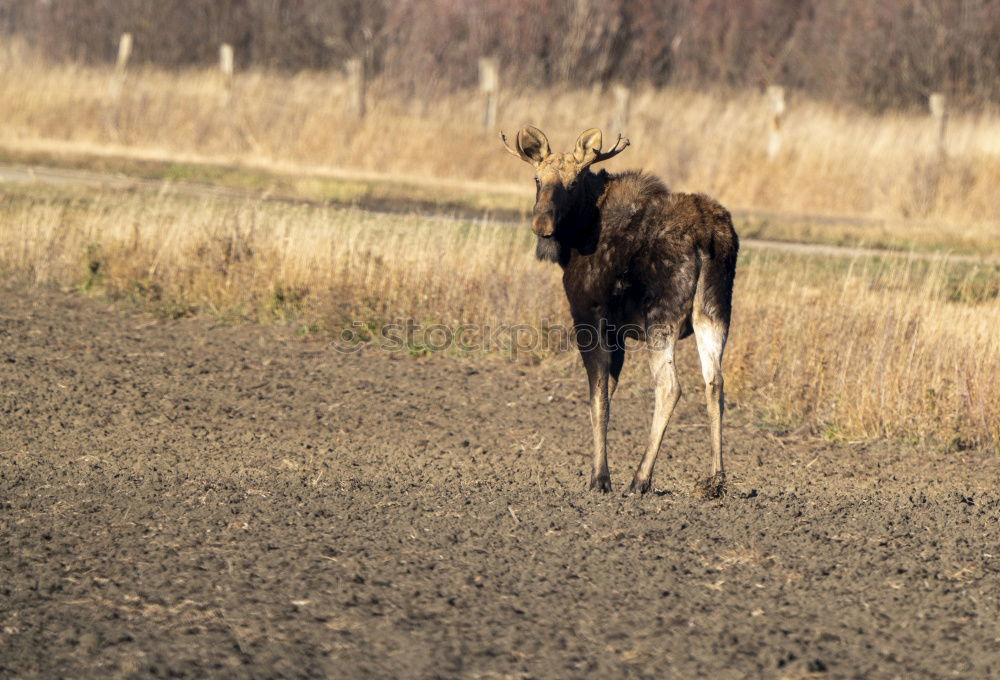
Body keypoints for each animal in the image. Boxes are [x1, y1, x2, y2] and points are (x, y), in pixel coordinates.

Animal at [498, 127, 736, 496]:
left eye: (573, 183)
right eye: (537, 179)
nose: (542, 224)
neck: (575, 239)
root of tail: (708, 237)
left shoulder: (590, 316)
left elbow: (598, 398)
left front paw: (599, 478)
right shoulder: (618, 332)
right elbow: (606, 394)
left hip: (661, 319)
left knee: (670, 387)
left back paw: (640, 479)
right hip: (714, 312)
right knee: (715, 382)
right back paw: (715, 480)